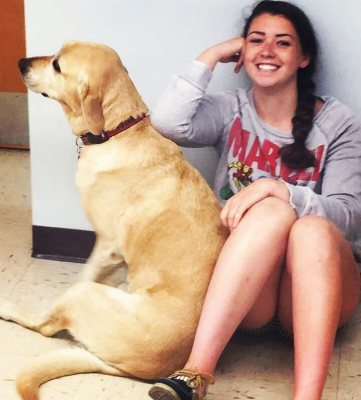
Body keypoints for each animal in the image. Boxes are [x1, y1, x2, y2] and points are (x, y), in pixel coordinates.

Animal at [0, 42, 225, 398]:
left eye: (57, 65)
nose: (22, 62)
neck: (117, 132)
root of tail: (132, 370)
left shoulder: (106, 246)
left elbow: (85, 272)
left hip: (85, 294)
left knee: (46, 325)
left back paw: (8, 308)